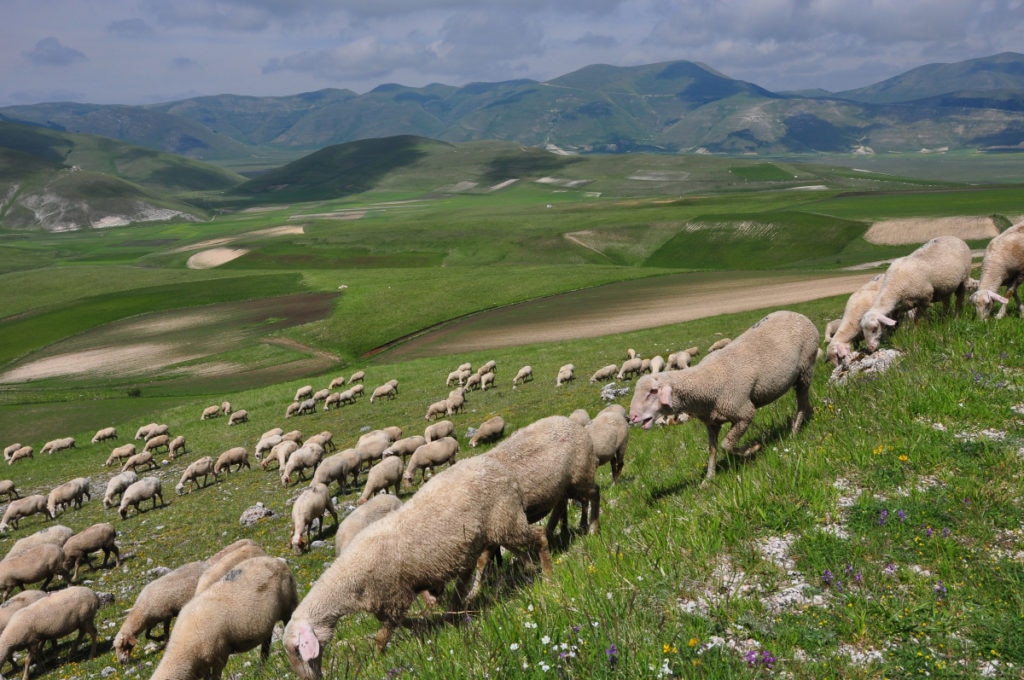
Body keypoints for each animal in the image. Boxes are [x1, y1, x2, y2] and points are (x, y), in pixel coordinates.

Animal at [149, 557, 299, 680]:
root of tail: (275, 560)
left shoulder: (219, 656)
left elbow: (216, 677)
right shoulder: (204, 667)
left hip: (289, 605)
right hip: (269, 620)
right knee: (266, 642)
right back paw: (260, 670)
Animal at [280, 450, 552, 675]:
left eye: (296, 650)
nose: (309, 679)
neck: (351, 580)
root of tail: (501, 469)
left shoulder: (394, 594)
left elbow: (384, 633)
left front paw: (376, 659)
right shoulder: (387, 599)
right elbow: (399, 622)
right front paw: (424, 625)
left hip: (505, 520)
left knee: (538, 537)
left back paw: (547, 575)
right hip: (490, 532)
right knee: (485, 566)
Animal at [630, 307, 815, 483]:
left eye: (653, 391)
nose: (632, 417)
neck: (706, 383)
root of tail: (797, 314)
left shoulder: (744, 412)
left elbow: (726, 445)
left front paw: (752, 449)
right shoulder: (712, 422)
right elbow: (712, 450)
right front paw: (708, 479)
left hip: (805, 369)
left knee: (801, 402)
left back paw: (794, 431)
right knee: (805, 402)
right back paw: (807, 418)